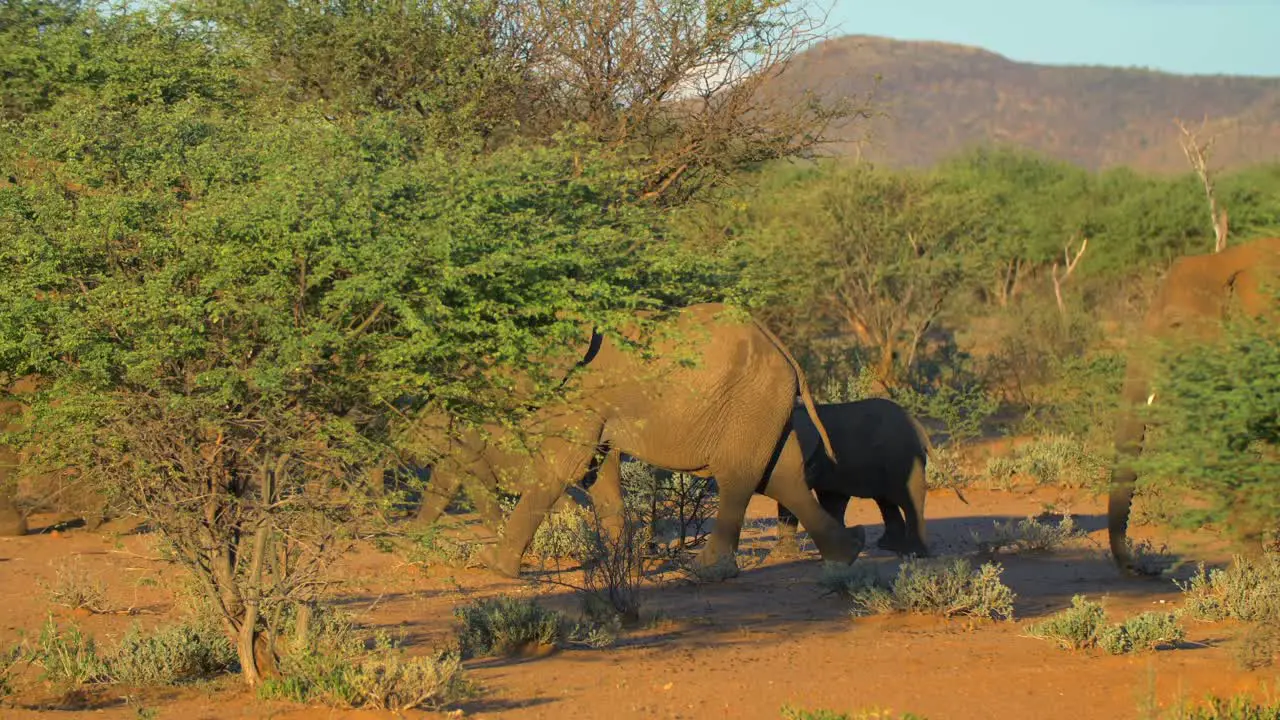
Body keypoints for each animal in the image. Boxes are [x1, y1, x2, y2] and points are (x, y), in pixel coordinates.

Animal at [437, 301, 860, 576]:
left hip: (749, 401)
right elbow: (598, 474)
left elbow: (562, 467)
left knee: (739, 478)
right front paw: (623, 568)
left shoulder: (582, 393)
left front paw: (493, 567)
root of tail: (784, 351)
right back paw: (845, 557)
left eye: (487, 358)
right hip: (767, 405)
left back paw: (707, 571)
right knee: (781, 478)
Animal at [768, 394, 931, 558]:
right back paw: (889, 546)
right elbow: (832, 500)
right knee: (885, 501)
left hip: (902, 458)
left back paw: (913, 553)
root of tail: (920, 428)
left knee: (908, 501)